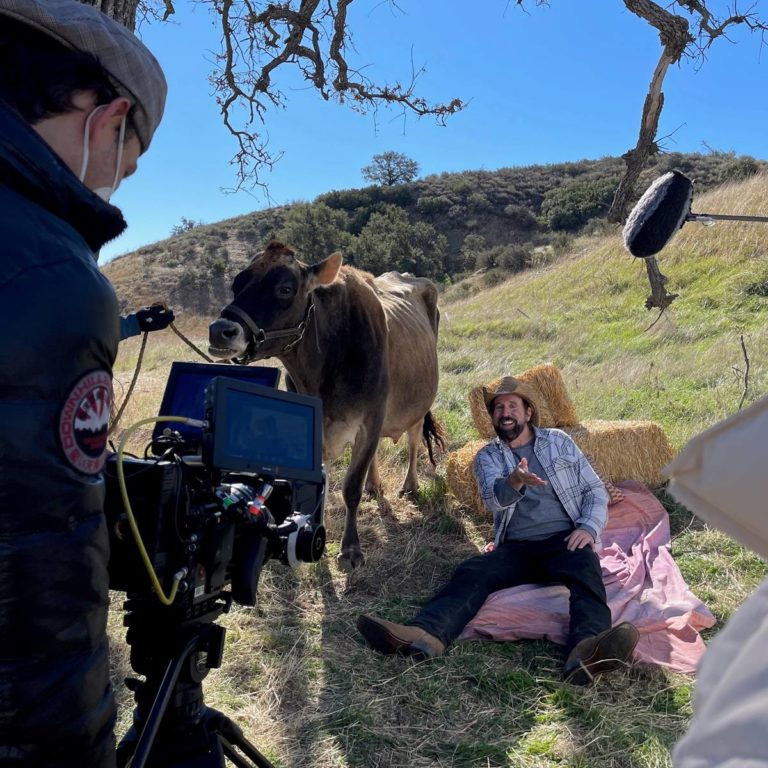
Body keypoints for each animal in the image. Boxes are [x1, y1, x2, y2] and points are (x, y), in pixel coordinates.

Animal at [208, 240, 444, 568]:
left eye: (285, 288)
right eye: (236, 284)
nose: (220, 330)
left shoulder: (370, 419)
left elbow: (351, 487)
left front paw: (351, 549)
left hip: (416, 406)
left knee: (412, 440)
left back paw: (409, 485)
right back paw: (375, 485)